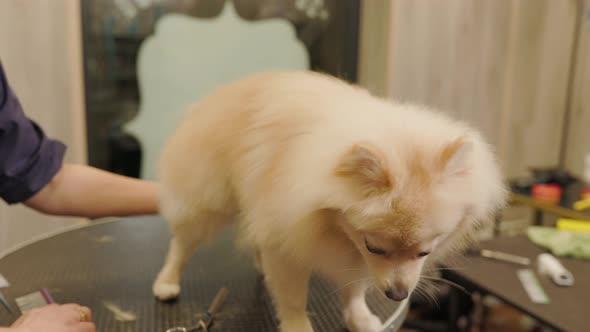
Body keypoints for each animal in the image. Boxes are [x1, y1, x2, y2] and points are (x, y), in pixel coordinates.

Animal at [154, 71, 508, 330]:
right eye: (375, 248)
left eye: (424, 252)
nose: (397, 294)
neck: (332, 228)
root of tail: (218, 95)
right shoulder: (288, 240)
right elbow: (293, 298)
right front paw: (297, 326)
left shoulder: (351, 254)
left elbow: (354, 289)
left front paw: (360, 317)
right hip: (208, 203)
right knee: (181, 243)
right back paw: (167, 281)